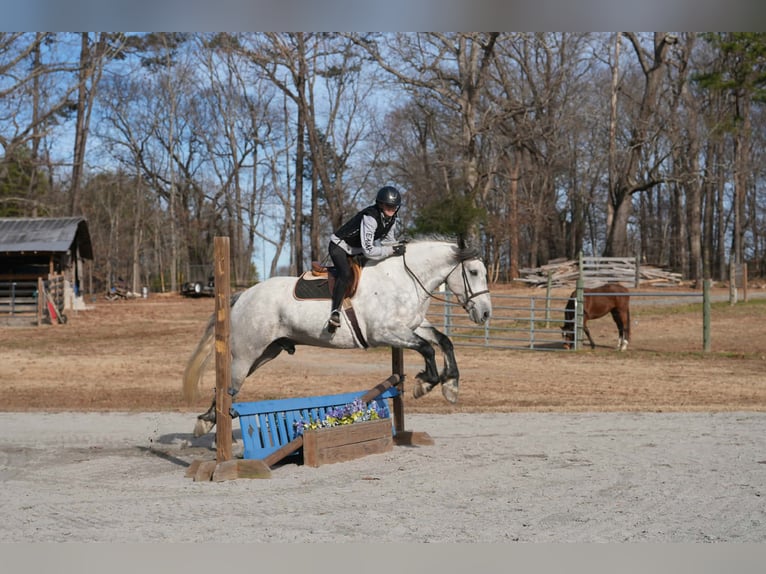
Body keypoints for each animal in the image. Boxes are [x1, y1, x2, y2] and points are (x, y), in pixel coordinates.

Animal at [183, 235, 492, 436]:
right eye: (473, 272)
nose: (486, 313)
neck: (405, 278)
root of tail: (243, 295)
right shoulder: (387, 333)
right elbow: (427, 349)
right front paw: (425, 383)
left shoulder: (412, 326)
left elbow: (443, 341)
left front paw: (451, 386)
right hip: (246, 353)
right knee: (228, 386)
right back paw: (207, 423)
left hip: (266, 352)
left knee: (230, 386)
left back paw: (207, 421)